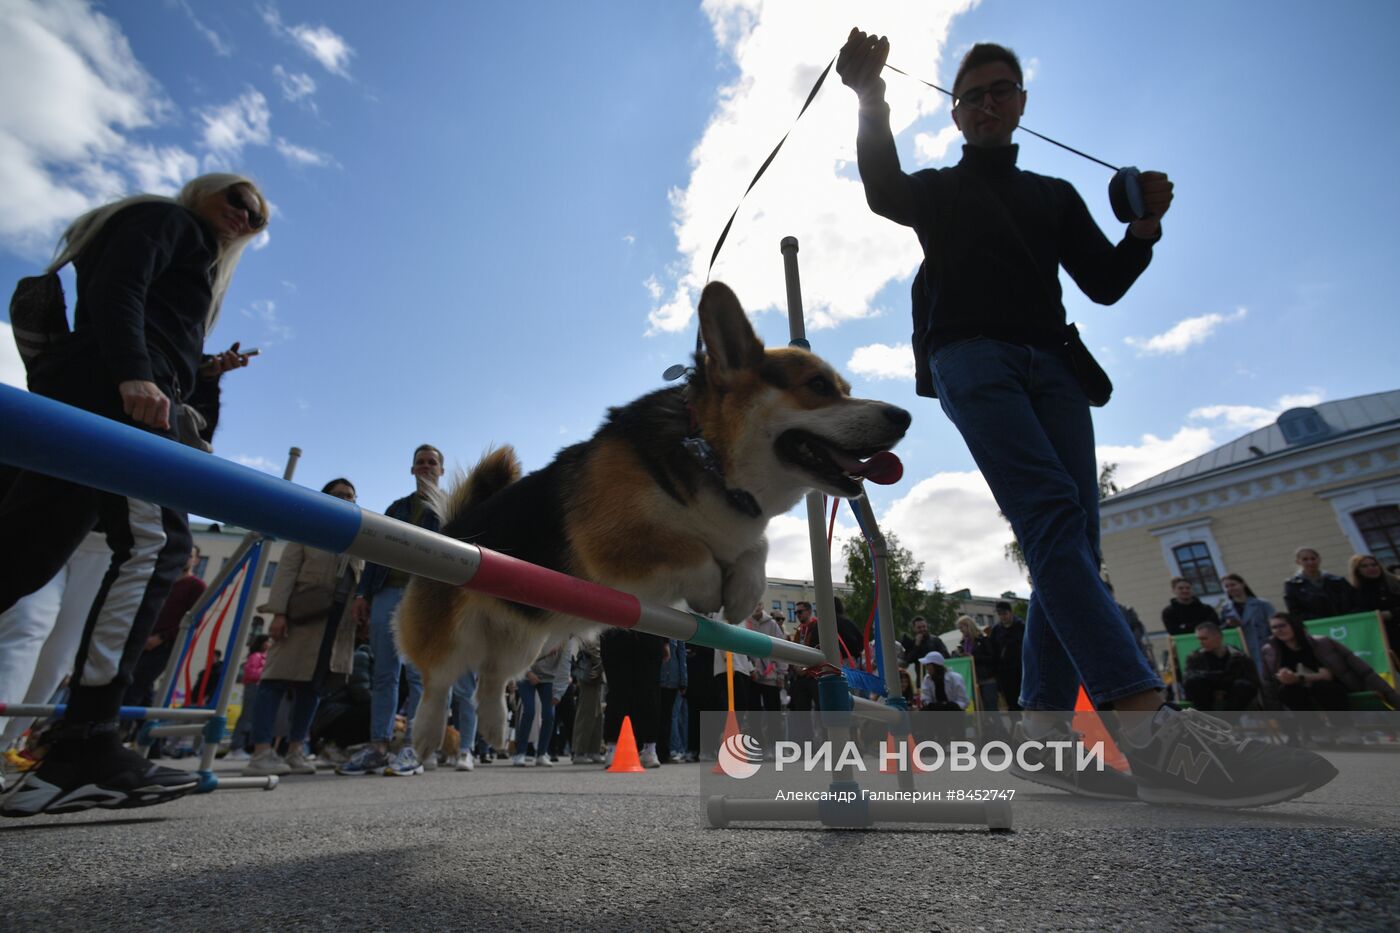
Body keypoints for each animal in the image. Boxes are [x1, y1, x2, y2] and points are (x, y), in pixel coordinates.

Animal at [397, 280, 918, 762]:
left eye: (845, 389)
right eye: (818, 387)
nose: (905, 416)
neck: (708, 453)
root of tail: (455, 528)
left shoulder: (737, 531)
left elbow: (755, 549)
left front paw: (742, 592)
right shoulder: (612, 541)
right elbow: (690, 551)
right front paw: (710, 592)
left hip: (525, 634)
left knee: (490, 678)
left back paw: (491, 729)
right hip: (454, 622)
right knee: (438, 679)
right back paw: (425, 737)